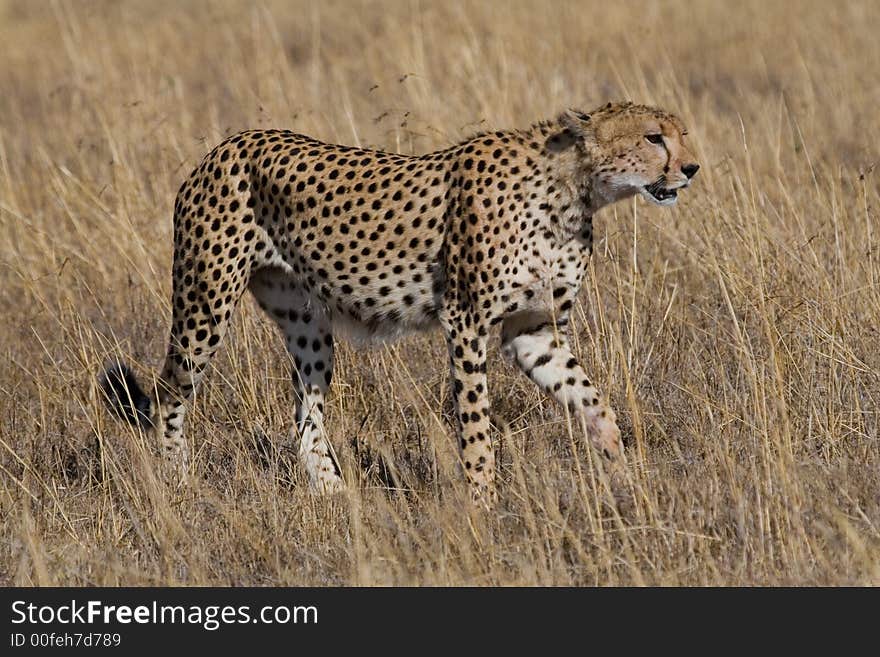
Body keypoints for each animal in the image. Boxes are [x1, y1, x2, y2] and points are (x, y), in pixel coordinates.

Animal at [103, 101, 696, 502]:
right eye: (653, 138)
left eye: (682, 135)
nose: (690, 169)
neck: (572, 191)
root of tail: (226, 144)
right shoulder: (466, 322)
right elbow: (476, 425)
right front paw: (483, 504)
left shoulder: (534, 330)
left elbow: (592, 399)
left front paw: (622, 468)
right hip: (204, 303)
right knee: (169, 392)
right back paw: (178, 482)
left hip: (307, 323)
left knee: (305, 412)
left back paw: (336, 497)